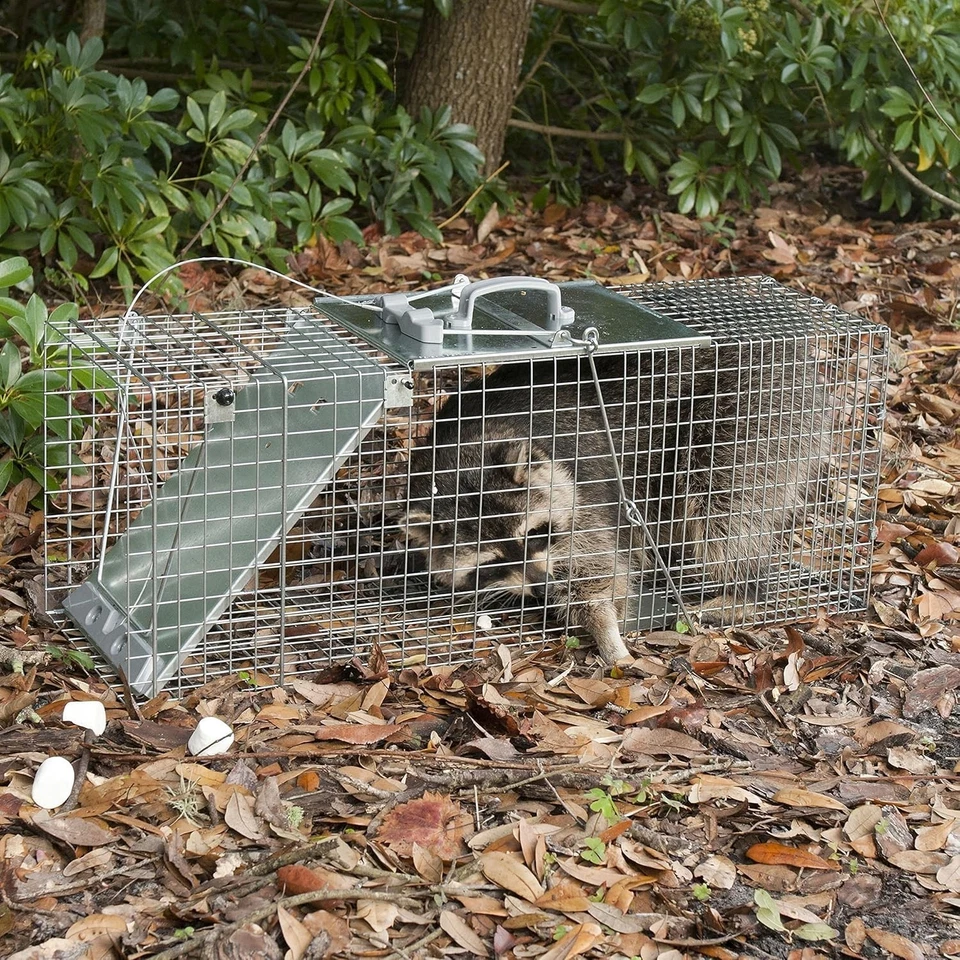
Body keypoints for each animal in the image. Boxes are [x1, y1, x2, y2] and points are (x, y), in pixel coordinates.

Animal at [403, 344, 825, 663]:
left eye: (535, 533)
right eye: (492, 561)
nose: (541, 587)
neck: (461, 454)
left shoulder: (582, 493)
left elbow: (596, 569)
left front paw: (605, 628)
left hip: (742, 420)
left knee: (720, 516)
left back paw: (744, 589)